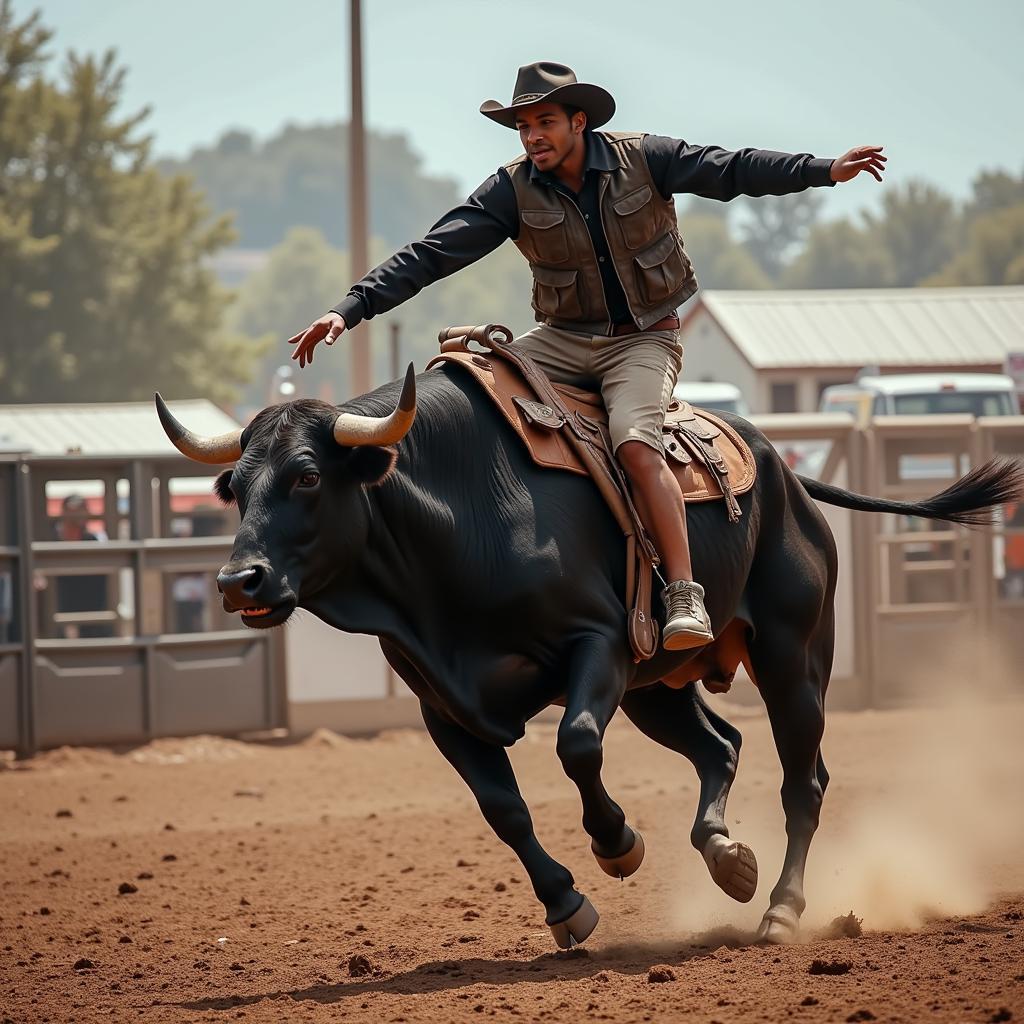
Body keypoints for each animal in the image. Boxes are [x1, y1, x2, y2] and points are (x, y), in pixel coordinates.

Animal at [155, 364, 1019, 946]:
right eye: (233, 487)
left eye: (306, 476)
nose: (237, 581)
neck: (457, 522)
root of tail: (786, 475)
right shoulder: (444, 708)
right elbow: (502, 808)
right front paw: (567, 905)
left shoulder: (598, 644)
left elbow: (574, 744)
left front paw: (618, 845)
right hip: (657, 688)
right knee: (722, 747)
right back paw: (726, 857)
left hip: (793, 659)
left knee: (802, 780)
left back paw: (780, 907)